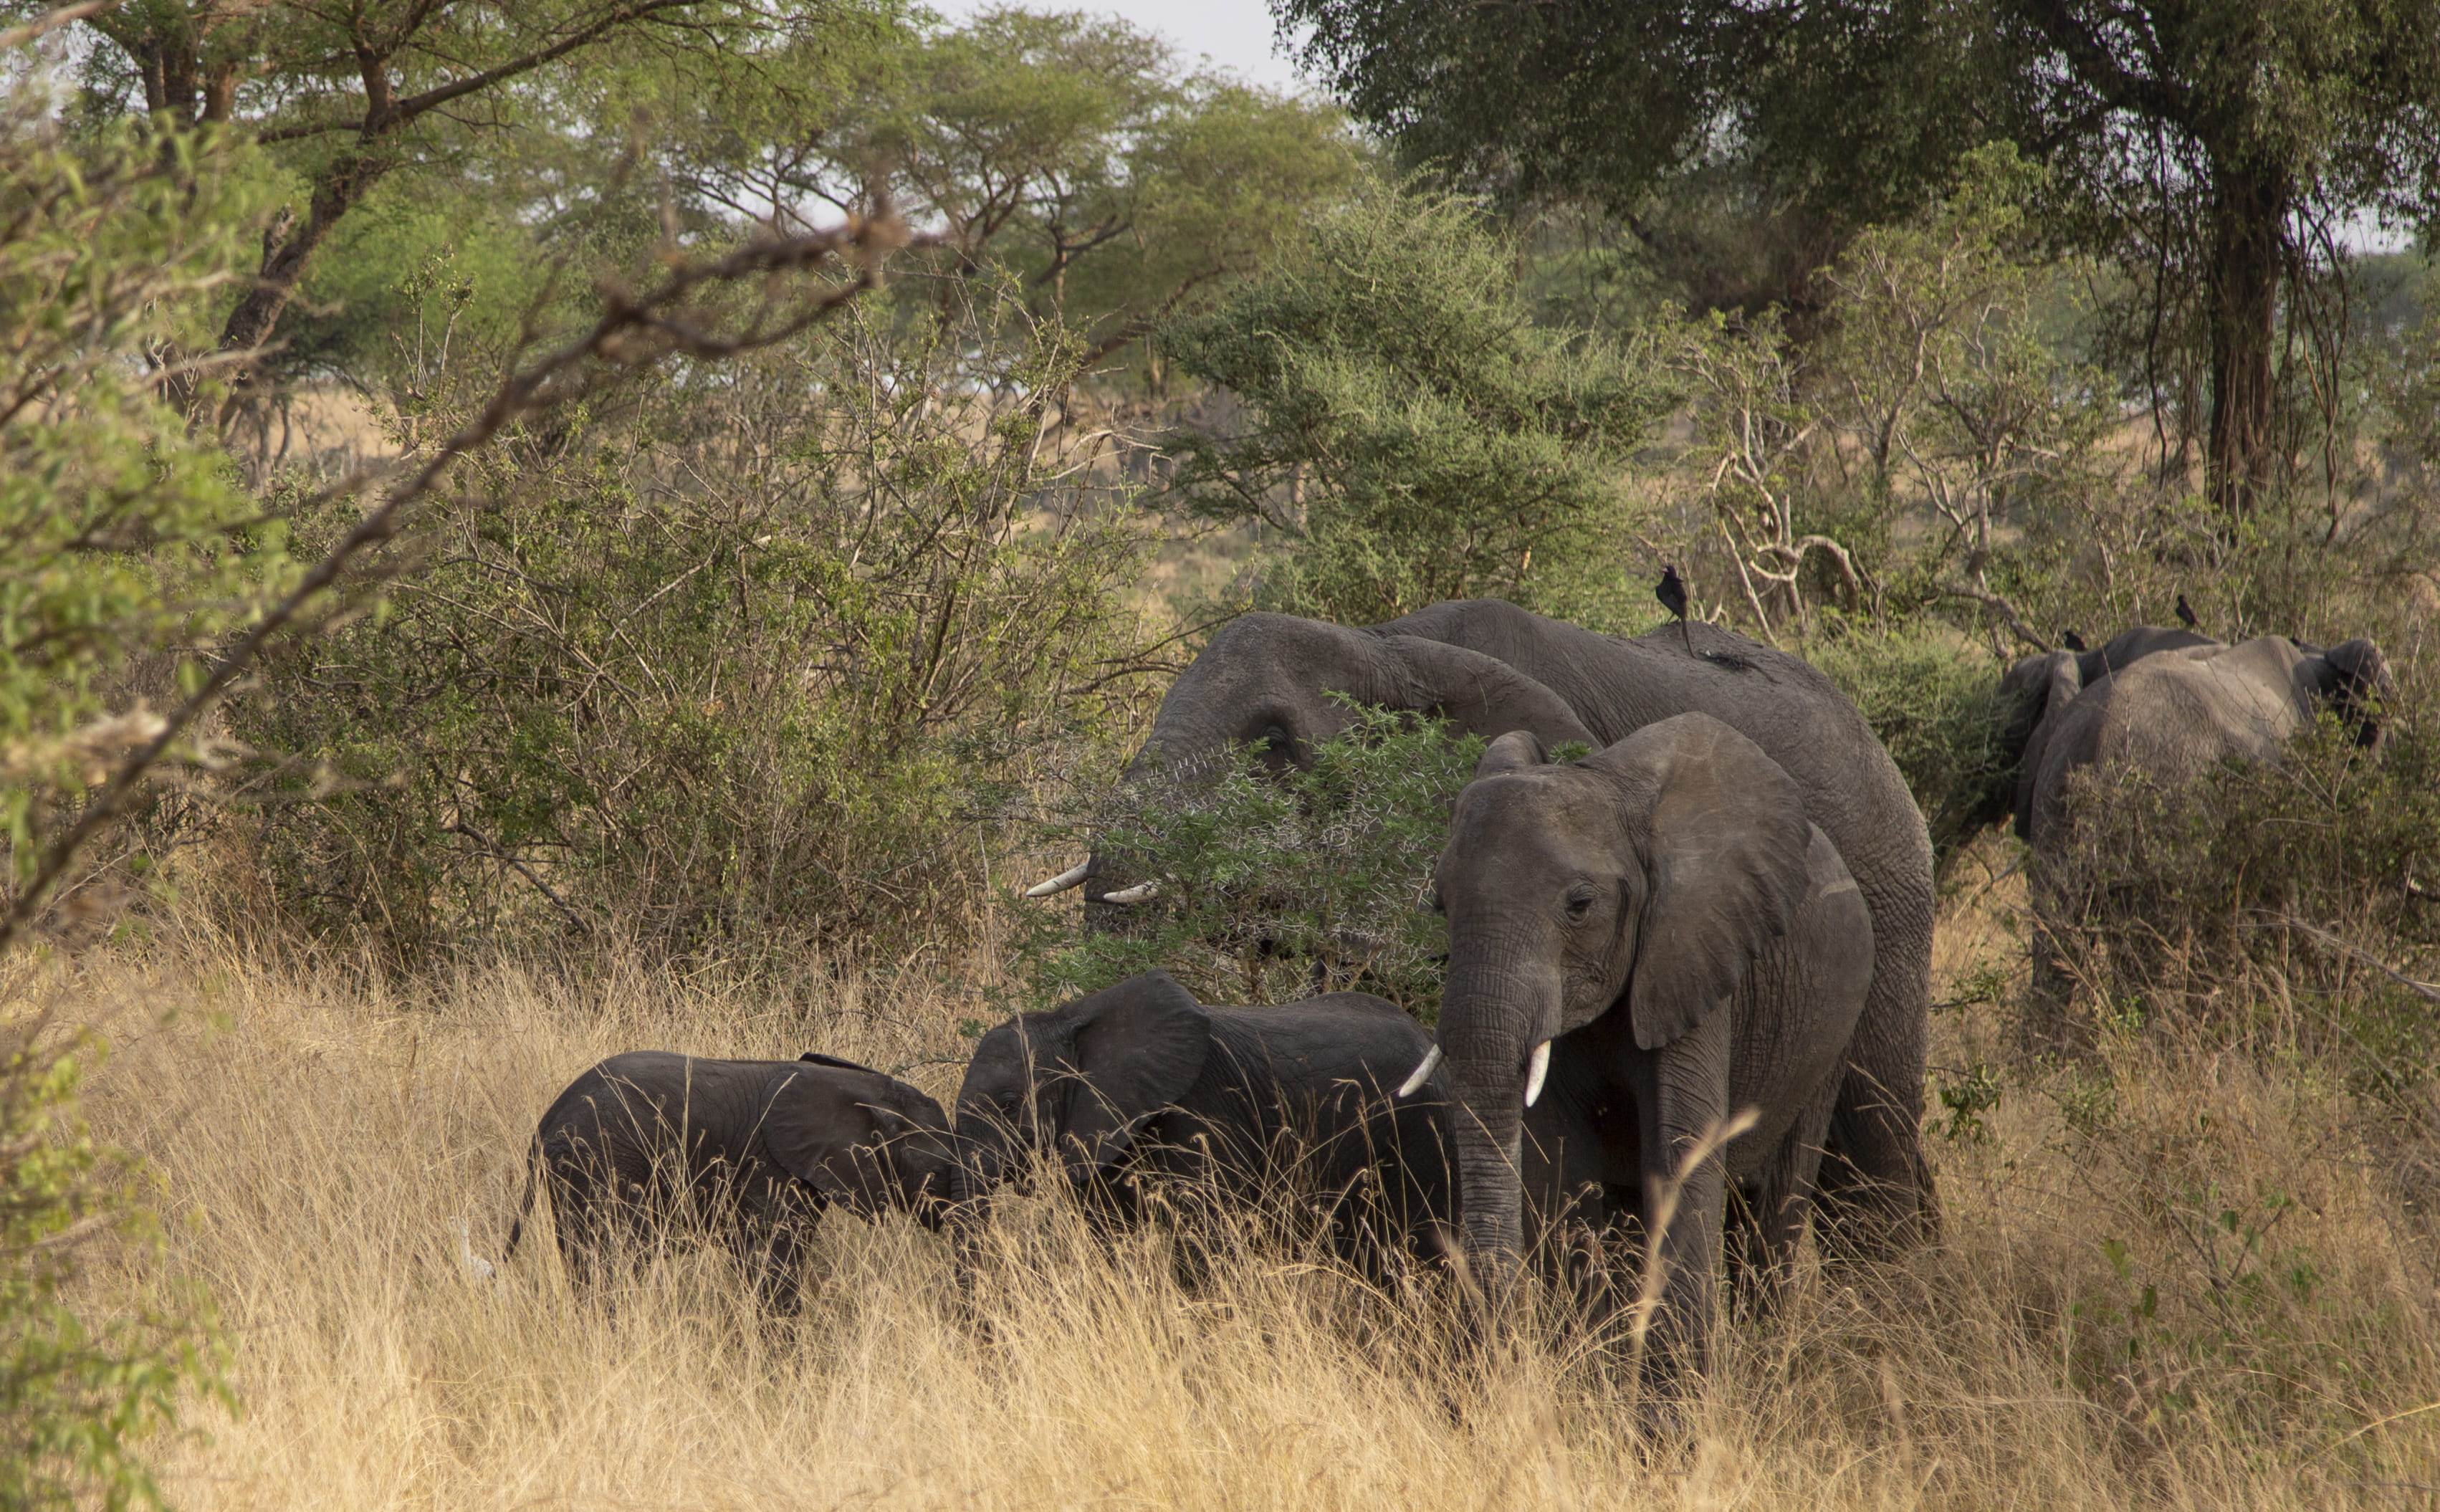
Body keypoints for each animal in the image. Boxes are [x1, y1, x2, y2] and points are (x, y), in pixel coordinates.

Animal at [503, 1050, 961, 1313]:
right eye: (940, 1169)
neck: (861, 1087)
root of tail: (544, 1125)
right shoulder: (770, 1166)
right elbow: (770, 1264)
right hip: (598, 1164)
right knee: (609, 1265)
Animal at [954, 970, 1458, 1276]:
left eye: (1009, 1103)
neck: (1071, 1020)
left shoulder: (1203, 1115)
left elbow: (1205, 1245)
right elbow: (1109, 1242)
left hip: (1422, 1133)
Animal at [1418, 714, 1876, 1387]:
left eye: (1579, 905)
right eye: (1440, 904)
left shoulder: (1694, 954)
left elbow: (1679, 1158)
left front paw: (1673, 1408)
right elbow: (1565, 1173)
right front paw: (1593, 1387)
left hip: (1831, 1034)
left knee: (1774, 1211)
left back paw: (1770, 1363)